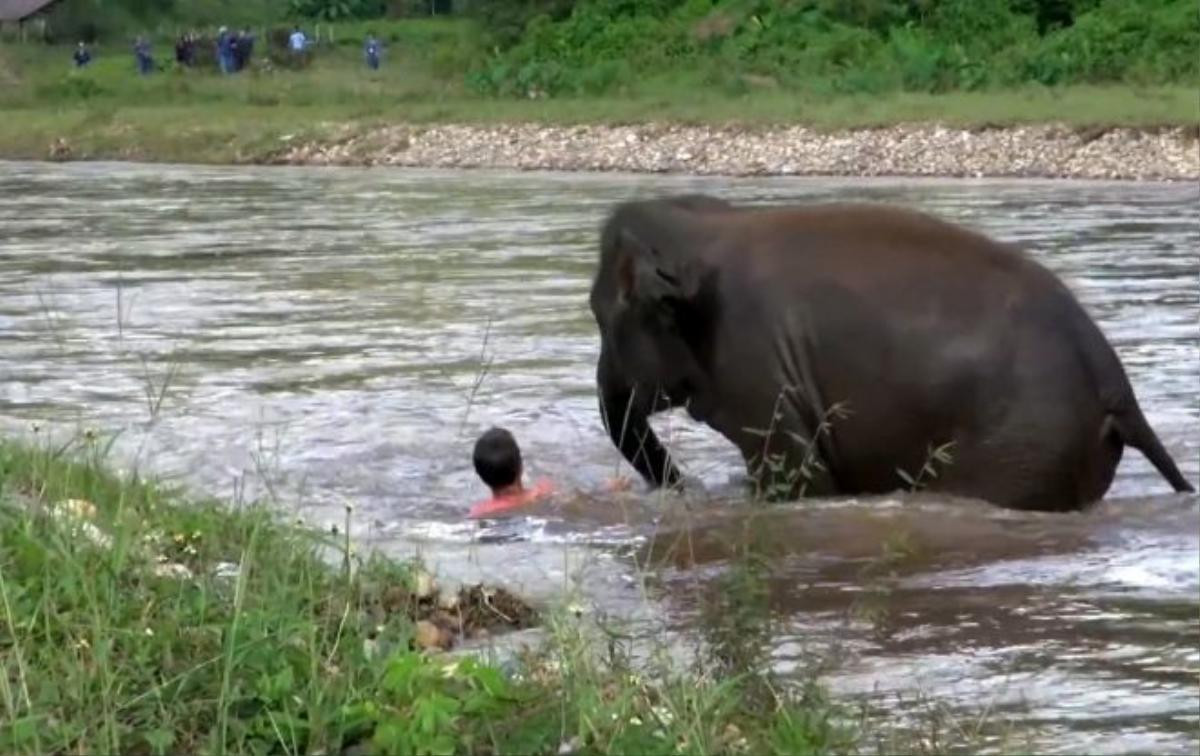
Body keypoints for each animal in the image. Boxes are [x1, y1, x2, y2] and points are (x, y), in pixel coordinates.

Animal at [588, 192, 1190, 513]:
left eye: (598, 316)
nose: (680, 488)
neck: (703, 225)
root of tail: (1116, 383)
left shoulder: (754, 366)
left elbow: (800, 477)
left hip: (1025, 442)